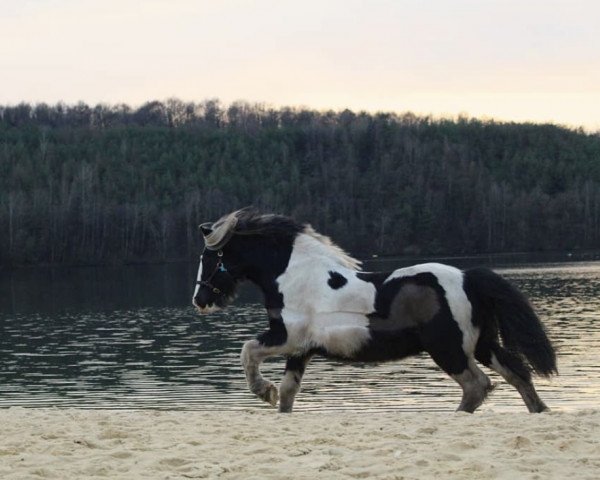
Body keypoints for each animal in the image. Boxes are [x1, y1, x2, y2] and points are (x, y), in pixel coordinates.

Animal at [193, 208, 556, 414]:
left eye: (209, 258)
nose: (199, 300)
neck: (294, 275)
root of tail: (470, 277)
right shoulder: (300, 351)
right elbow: (288, 392)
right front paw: (274, 399)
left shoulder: (286, 338)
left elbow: (247, 351)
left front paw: (262, 391)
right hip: (482, 345)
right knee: (516, 374)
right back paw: (540, 411)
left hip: (448, 349)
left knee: (477, 386)